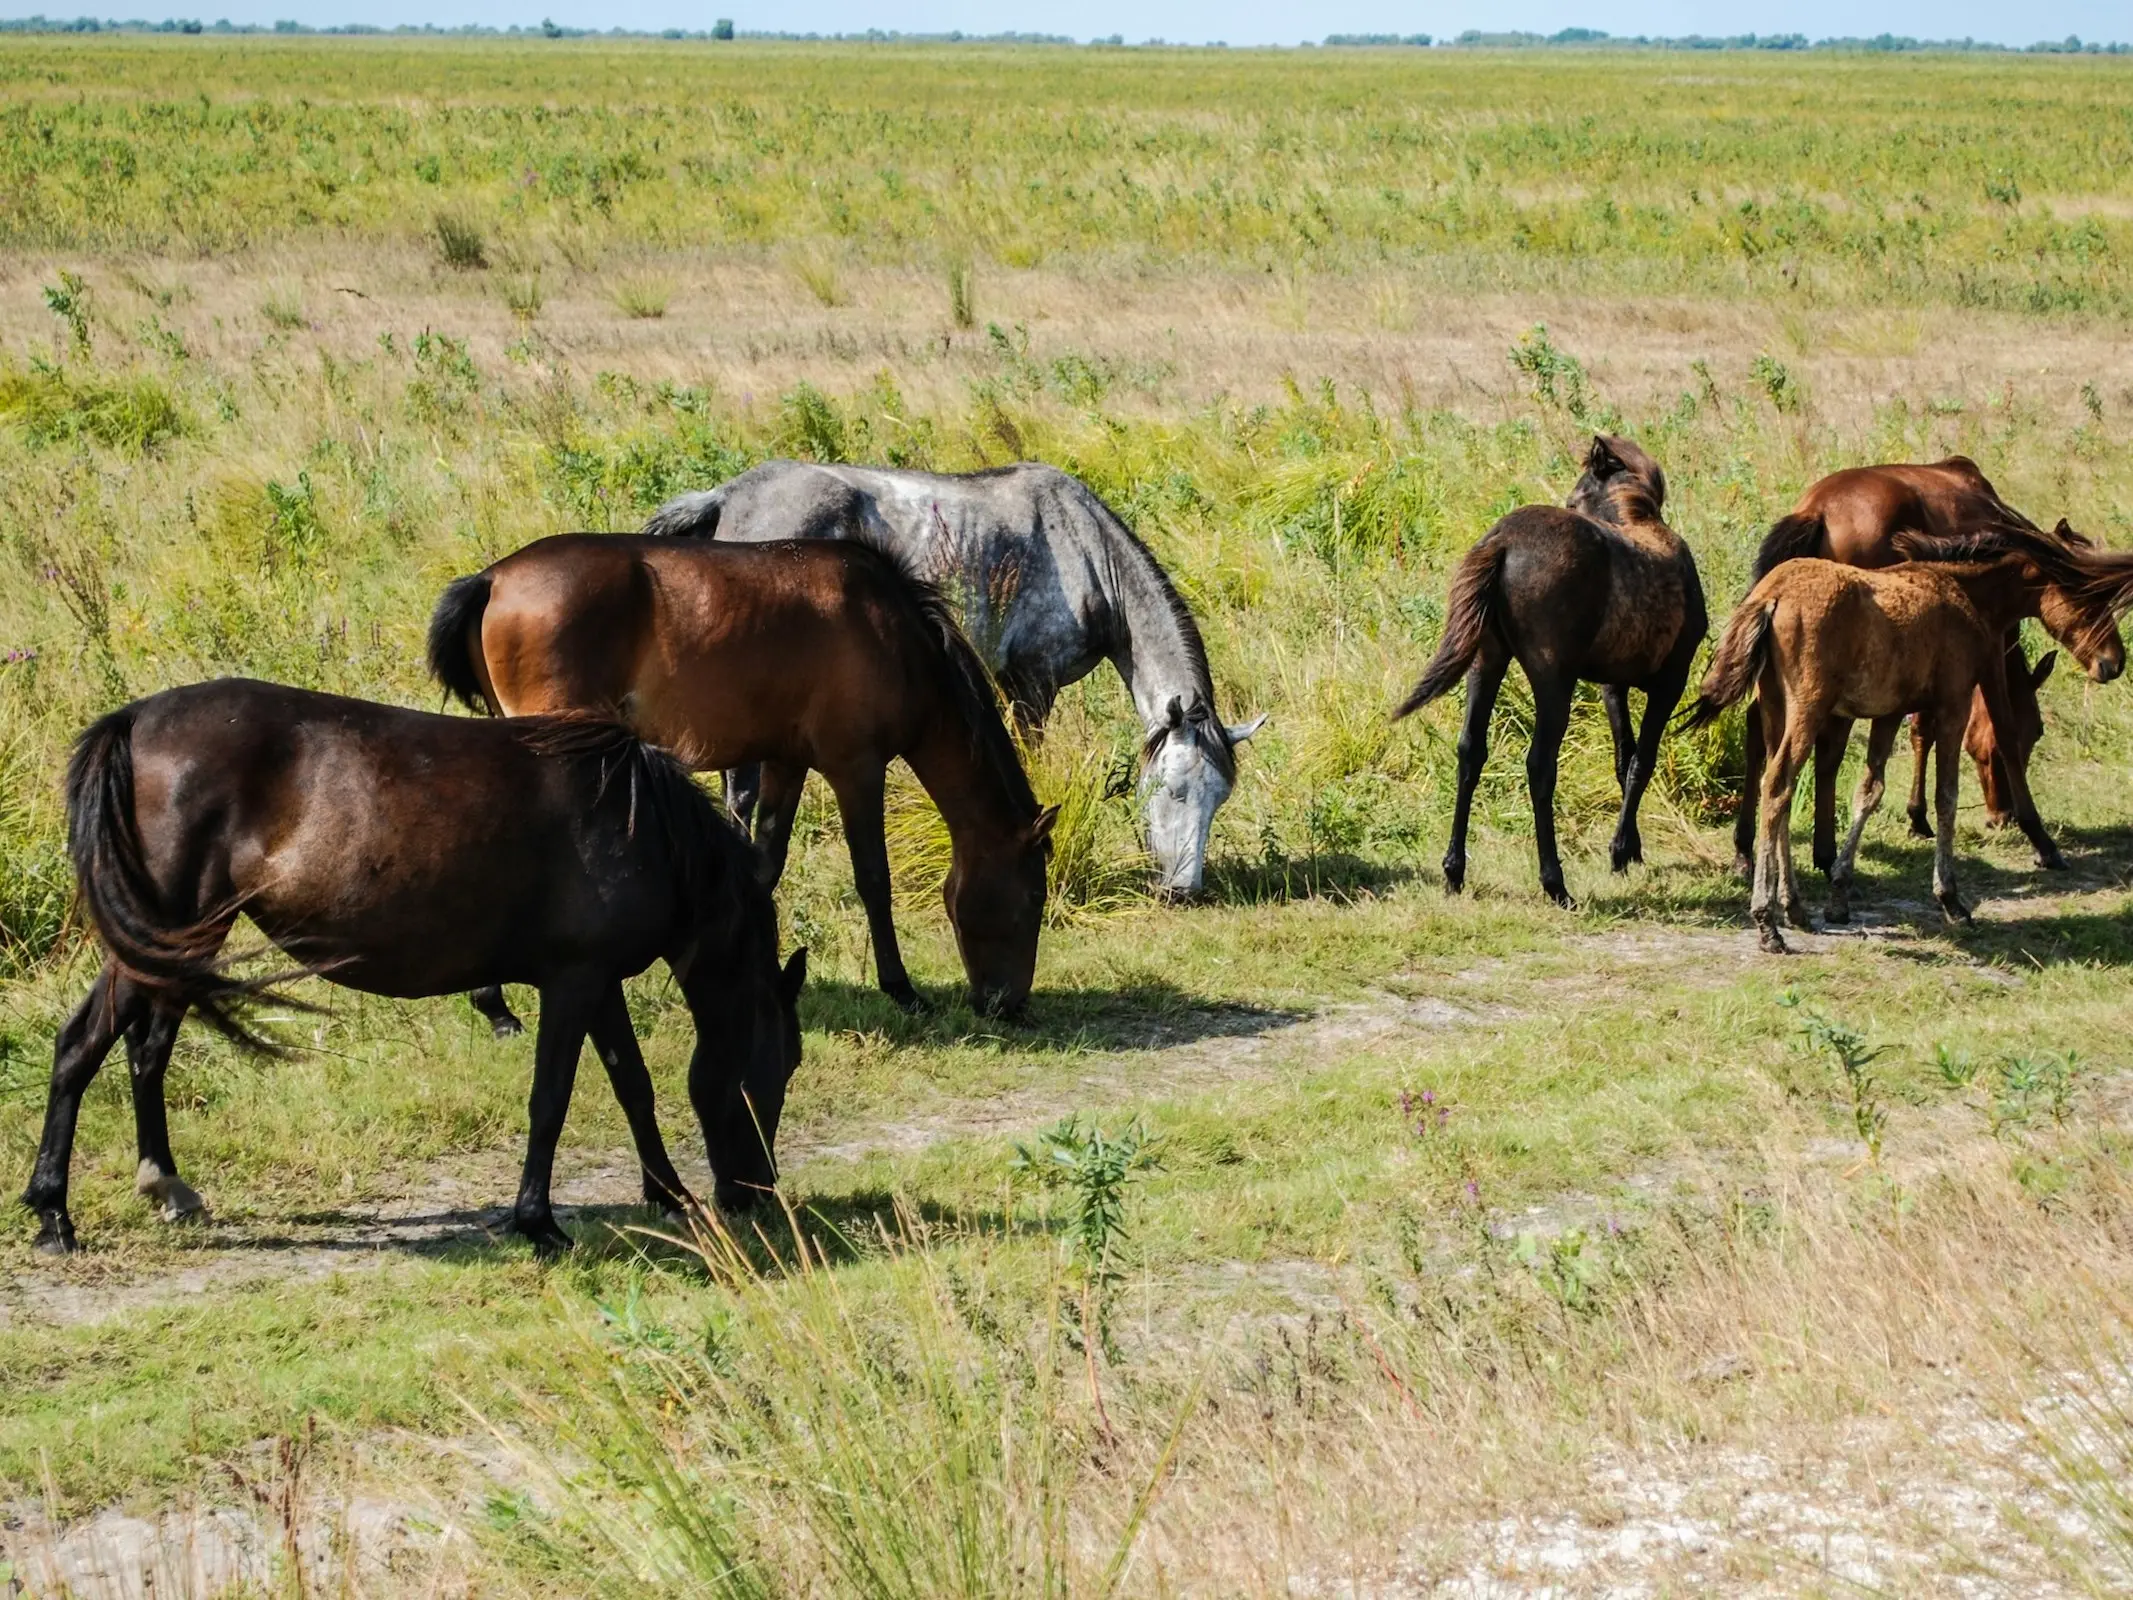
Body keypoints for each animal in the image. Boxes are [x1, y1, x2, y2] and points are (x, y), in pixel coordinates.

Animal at [22, 682, 806, 1262]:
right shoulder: (574, 982)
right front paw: (538, 1222)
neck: (640, 822)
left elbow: (632, 1086)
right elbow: (551, 1099)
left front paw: (668, 1194)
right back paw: (53, 1215)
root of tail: (133, 721)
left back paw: (164, 1185)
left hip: (175, 943)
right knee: (82, 1045)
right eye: (783, 1061)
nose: (755, 1193)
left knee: (144, 1051)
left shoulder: (597, 981)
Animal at [1390, 439, 1706, 908]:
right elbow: (1641, 762)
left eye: (1575, 497)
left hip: (1487, 660)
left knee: (1470, 751)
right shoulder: (1671, 681)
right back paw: (1555, 883)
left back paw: (1454, 871)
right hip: (1552, 677)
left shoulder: (1613, 685)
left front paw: (1630, 849)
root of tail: (1502, 541)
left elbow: (1623, 758)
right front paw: (1620, 851)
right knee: (1540, 764)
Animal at [1689, 526, 2133, 951]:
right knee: (1779, 785)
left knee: (1776, 785)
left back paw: (1795, 907)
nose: (2114, 662)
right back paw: (1768, 923)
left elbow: (1869, 791)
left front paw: (1839, 894)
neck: (1963, 593)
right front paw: (1952, 900)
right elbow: (1946, 795)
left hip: (1775, 709)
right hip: (1808, 710)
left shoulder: (1889, 713)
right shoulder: (1953, 705)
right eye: (2088, 598)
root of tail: (1772, 595)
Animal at [1731, 456, 2115, 878]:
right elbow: (2002, 727)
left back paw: (1747, 849)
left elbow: (1920, 728)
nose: (2001, 816)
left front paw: (1917, 816)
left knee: (1760, 727)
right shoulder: (1990, 648)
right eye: (2037, 731)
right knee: (1825, 747)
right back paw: (1823, 853)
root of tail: (1816, 512)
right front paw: (2041, 839)